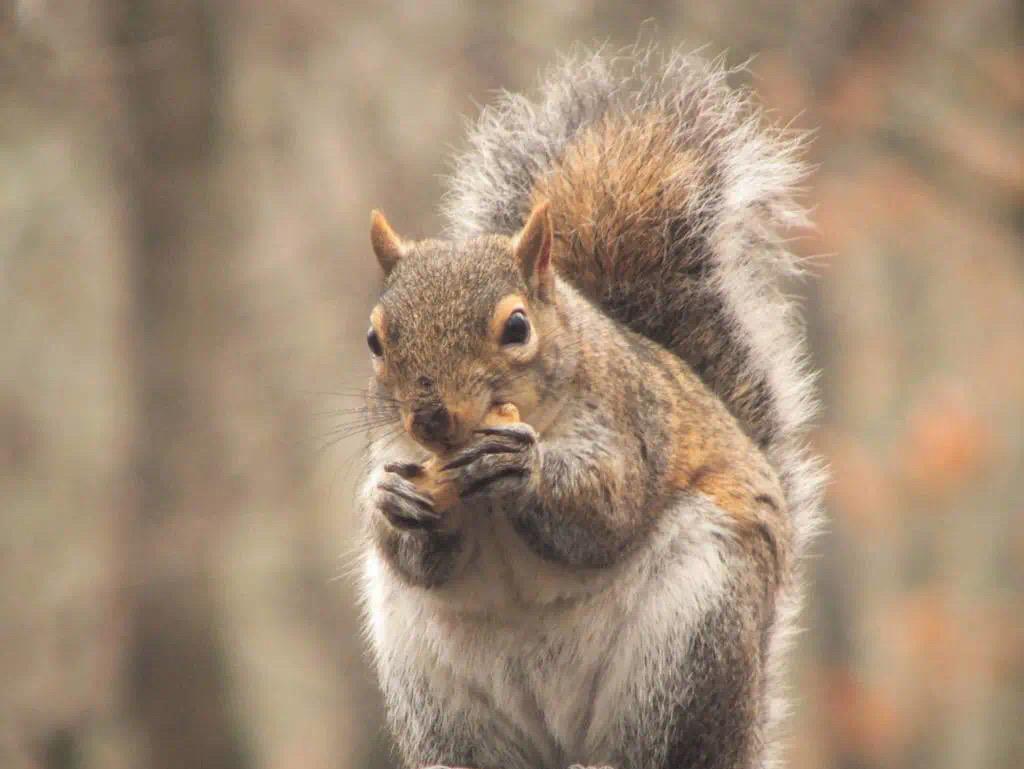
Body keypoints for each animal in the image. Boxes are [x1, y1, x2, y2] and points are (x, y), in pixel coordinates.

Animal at [358, 45, 823, 769]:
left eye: (517, 327)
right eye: (375, 340)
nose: (432, 418)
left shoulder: (631, 423)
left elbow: (607, 509)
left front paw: (522, 469)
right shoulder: (395, 444)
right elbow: (414, 555)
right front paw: (391, 501)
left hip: (696, 634)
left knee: (663, 748)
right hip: (436, 696)